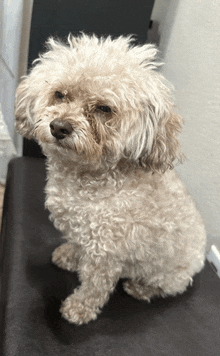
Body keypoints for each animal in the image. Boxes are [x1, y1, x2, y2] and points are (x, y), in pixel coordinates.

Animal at [15, 34, 206, 326]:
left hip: (172, 273)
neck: (87, 178)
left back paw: (141, 288)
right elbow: (76, 242)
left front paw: (79, 309)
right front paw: (69, 255)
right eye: (60, 94)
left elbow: (95, 286)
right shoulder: (81, 230)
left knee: (170, 285)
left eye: (104, 108)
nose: (59, 127)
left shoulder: (106, 252)